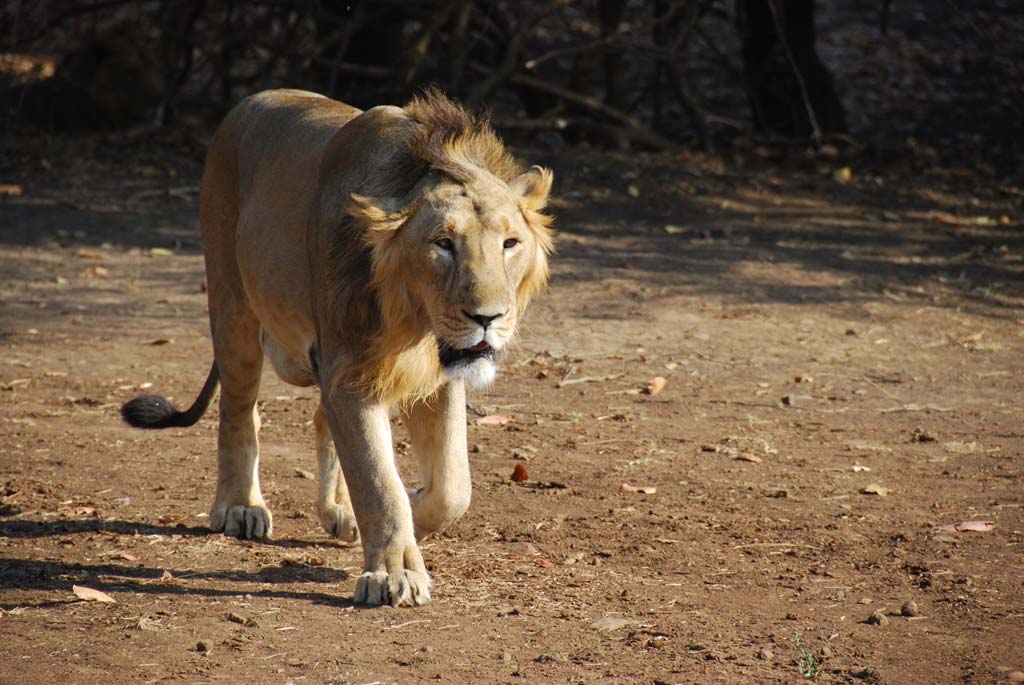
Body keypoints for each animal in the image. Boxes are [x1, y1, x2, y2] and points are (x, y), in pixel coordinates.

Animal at [121, 88, 554, 607]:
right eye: (443, 243)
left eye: (510, 243)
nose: (488, 318)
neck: (415, 323)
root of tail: (249, 102)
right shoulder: (349, 369)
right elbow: (378, 482)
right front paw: (394, 574)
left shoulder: (432, 376)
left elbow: (452, 488)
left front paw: (407, 516)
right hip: (232, 304)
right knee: (239, 411)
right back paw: (240, 506)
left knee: (319, 418)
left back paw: (338, 511)